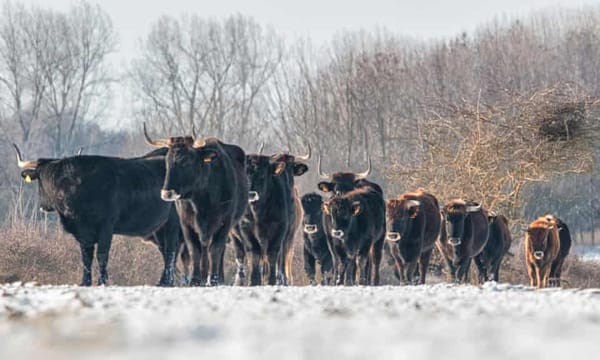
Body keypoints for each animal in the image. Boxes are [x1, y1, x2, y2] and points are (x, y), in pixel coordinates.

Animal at [13, 144, 180, 286]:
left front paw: (102, 281)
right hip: (158, 229)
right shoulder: (83, 231)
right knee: (166, 251)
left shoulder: (106, 226)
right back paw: (167, 281)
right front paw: (85, 282)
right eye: (43, 179)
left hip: (173, 223)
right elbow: (86, 256)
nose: (45, 206)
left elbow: (102, 254)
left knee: (171, 250)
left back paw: (167, 282)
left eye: (59, 181)